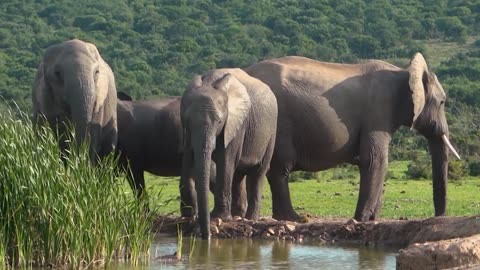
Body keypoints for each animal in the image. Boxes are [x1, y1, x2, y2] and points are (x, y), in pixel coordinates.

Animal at [180, 68, 278, 239]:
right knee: (238, 175)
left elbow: (225, 160)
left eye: (219, 121)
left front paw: (218, 217)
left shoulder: (236, 123)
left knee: (257, 173)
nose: (206, 236)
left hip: (271, 131)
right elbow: (188, 158)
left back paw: (250, 218)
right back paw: (237, 216)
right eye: (187, 121)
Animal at [246, 52, 460, 221]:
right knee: (280, 169)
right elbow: (374, 160)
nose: (438, 216)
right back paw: (294, 218)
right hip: (279, 120)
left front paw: (372, 219)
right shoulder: (378, 110)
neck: (404, 71)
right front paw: (361, 220)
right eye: (442, 102)